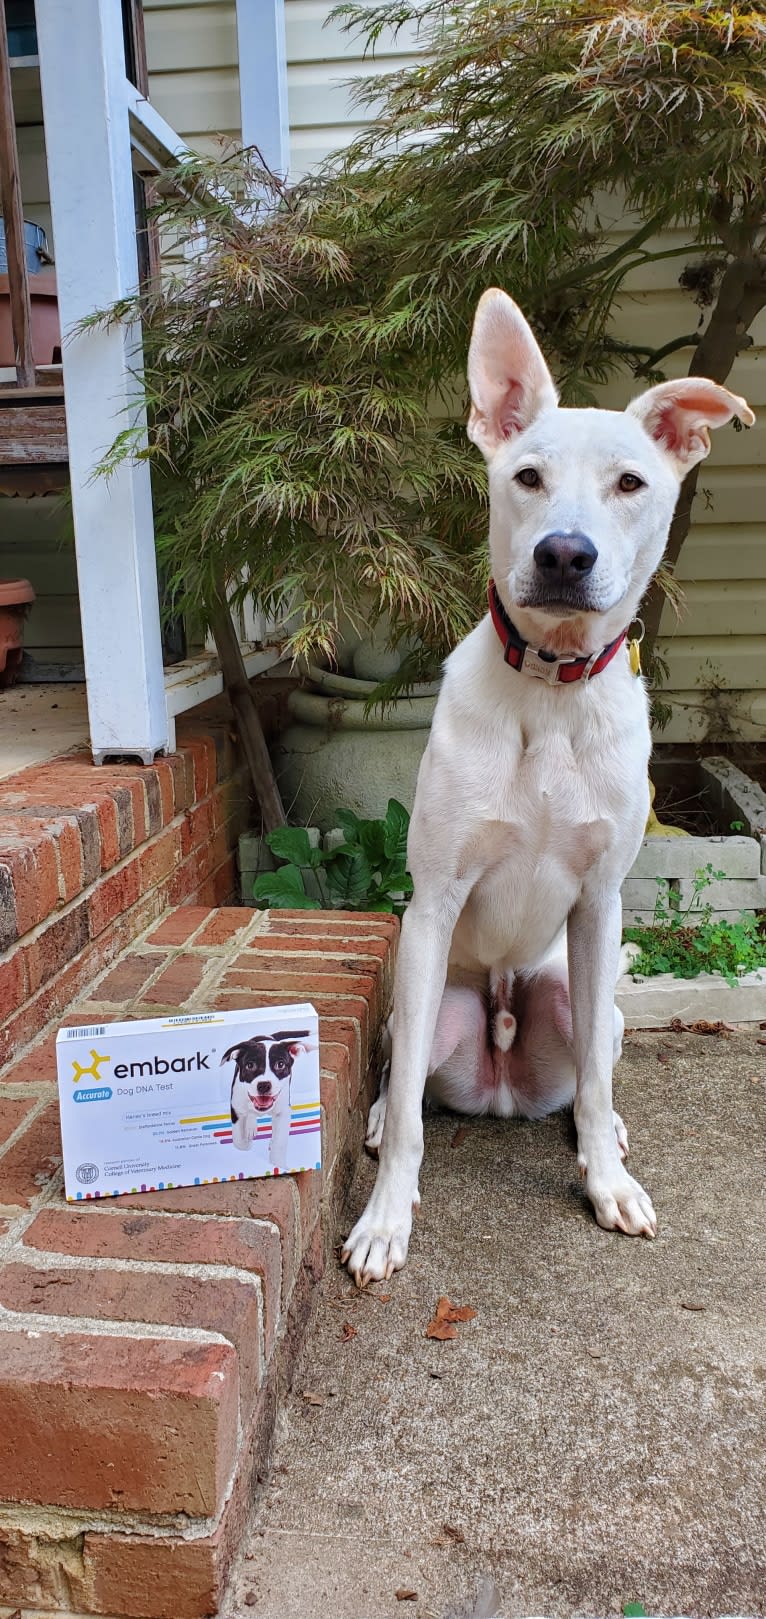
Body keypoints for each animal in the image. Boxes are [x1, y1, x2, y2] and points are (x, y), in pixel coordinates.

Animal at [223, 1036, 310, 1165]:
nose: (264, 1085)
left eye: (280, 1064)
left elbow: (279, 1142)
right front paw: (247, 1143)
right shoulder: (236, 1109)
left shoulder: (283, 1112)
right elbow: (240, 1143)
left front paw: (278, 1163)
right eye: (250, 1065)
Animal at [341, 284, 751, 1282]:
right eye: (526, 476)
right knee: (400, 1080)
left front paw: (606, 1182)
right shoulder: (434, 902)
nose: (565, 554)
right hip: (424, 1000)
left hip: (582, 997)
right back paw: (374, 1122)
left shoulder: (600, 903)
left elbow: (597, 1087)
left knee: (592, 1071)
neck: (552, 691)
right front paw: (386, 1219)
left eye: (631, 483)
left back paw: (611, 1137)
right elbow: (408, 1117)